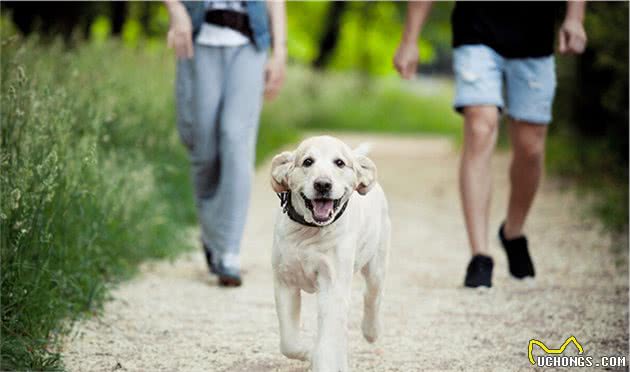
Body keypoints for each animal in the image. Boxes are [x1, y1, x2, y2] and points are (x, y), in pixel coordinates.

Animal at [270, 135, 390, 370]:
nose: (323, 184)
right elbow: (288, 343)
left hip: (376, 265)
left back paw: (371, 332)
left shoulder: (333, 285)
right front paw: (308, 353)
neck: (309, 231)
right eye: (307, 162)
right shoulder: (285, 282)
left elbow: (327, 342)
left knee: (372, 296)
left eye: (340, 163)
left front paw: (320, 359)